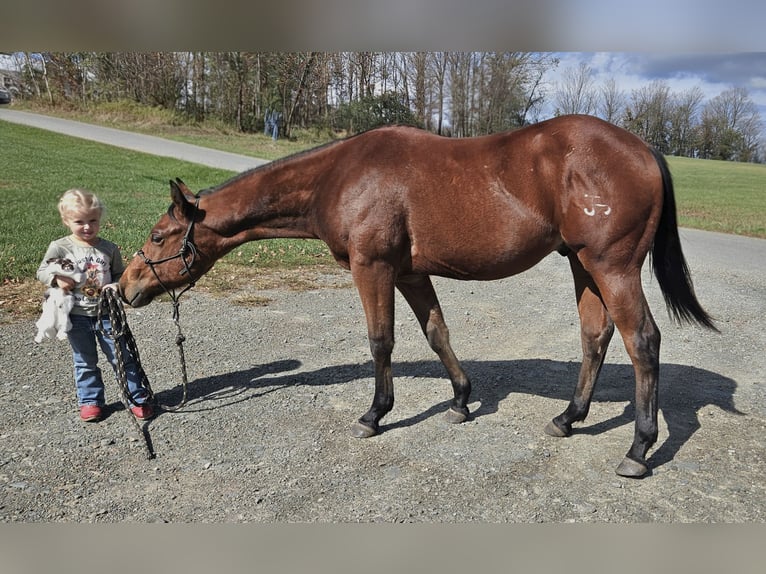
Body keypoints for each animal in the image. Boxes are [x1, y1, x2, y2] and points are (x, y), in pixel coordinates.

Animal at [119, 114, 717, 477]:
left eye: (158, 235)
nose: (124, 287)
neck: (340, 175)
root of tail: (644, 150)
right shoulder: (409, 273)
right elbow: (436, 333)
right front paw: (460, 401)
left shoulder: (374, 268)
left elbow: (381, 341)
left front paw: (375, 414)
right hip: (582, 265)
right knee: (596, 336)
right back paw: (568, 418)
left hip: (612, 266)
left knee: (643, 342)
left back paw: (638, 449)